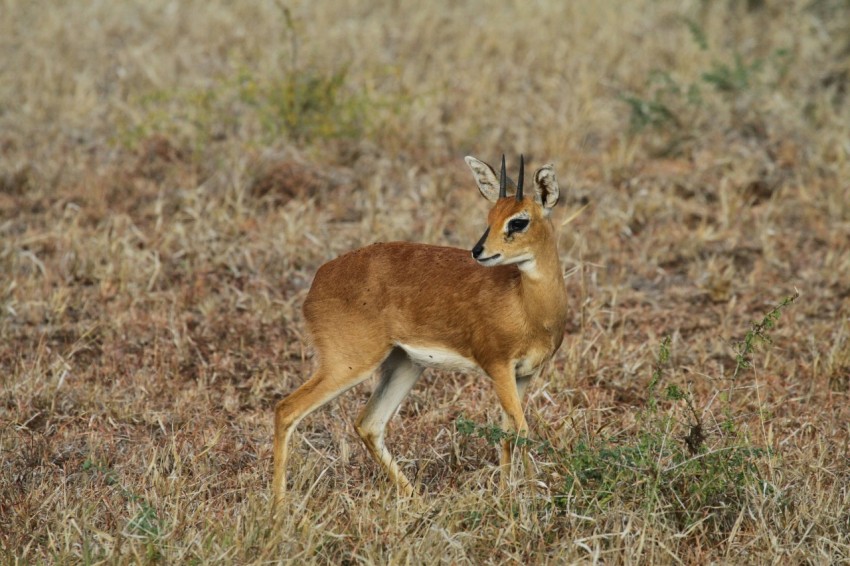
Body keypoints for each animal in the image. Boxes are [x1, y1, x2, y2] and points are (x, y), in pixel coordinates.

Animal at [272, 155, 568, 505]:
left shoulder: (524, 375)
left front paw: (508, 496)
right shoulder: (498, 367)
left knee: (369, 424)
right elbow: (522, 431)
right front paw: (534, 498)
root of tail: (318, 281)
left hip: (405, 364)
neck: (525, 303)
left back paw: (418, 500)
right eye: (491, 216)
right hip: (348, 365)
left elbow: (509, 432)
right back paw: (277, 508)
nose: (478, 251)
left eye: (518, 221)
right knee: (286, 410)